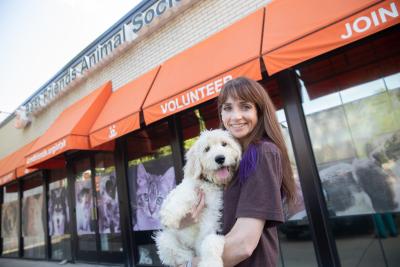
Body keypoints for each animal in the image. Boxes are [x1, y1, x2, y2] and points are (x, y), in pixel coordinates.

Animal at [155, 129, 242, 266]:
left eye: (224, 144)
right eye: (207, 149)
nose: (220, 158)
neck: (209, 184)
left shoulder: (211, 223)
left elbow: (211, 241)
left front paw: (211, 262)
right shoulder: (186, 188)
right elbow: (183, 194)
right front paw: (170, 217)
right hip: (164, 238)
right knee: (180, 255)